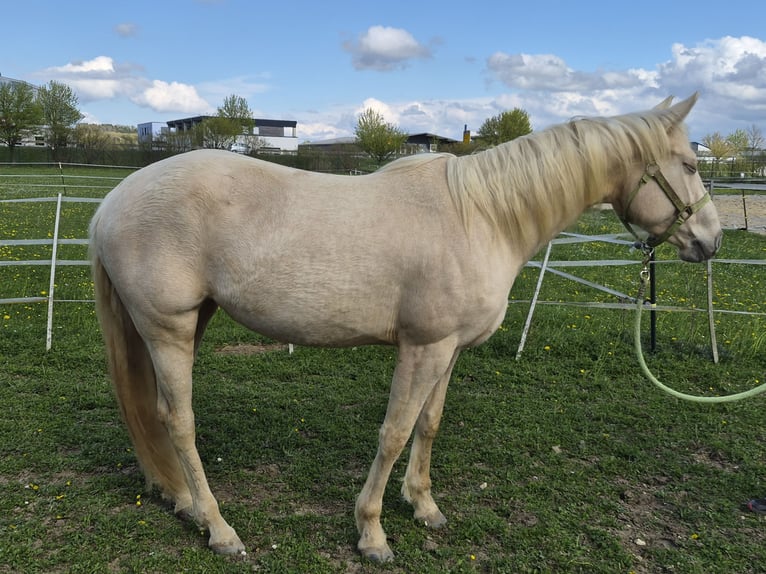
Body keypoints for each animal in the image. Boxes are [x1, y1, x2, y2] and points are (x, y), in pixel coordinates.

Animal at [89, 93, 722, 562]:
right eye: (691, 166)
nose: (711, 240)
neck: (482, 215)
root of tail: (111, 205)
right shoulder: (423, 347)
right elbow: (393, 432)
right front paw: (371, 533)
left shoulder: (449, 349)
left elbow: (429, 424)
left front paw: (423, 506)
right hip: (169, 329)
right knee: (180, 422)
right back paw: (219, 529)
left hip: (189, 322)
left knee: (152, 412)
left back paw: (182, 501)